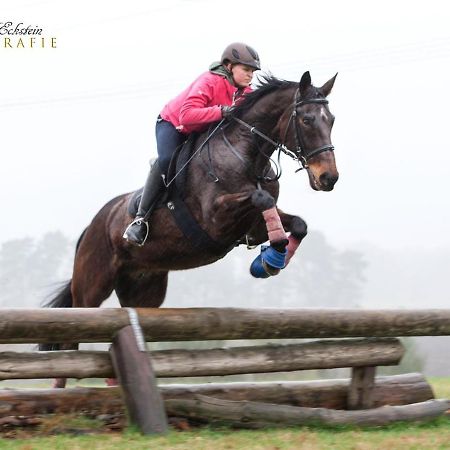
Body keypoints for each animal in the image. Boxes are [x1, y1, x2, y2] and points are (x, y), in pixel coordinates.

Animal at [42, 71, 340, 386]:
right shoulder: (216, 220)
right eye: (306, 119)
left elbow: (298, 224)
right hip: (91, 287)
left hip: (144, 289)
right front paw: (271, 257)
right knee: (70, 340)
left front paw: (270, 260)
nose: (328, 178)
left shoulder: (253, 226)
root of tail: (91, 226)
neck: (246, 156)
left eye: (331, 119)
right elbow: (263, 198)